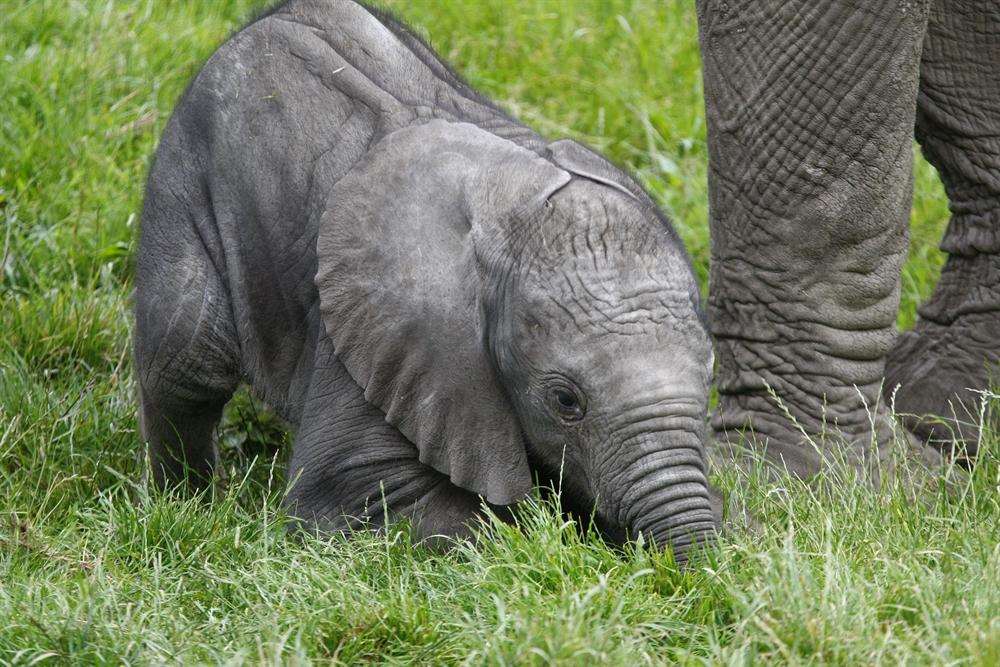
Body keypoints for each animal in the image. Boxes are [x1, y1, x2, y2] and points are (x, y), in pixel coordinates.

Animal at [137, 0, 716, 560]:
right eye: (565, 402)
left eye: (709, 378)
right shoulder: (387, 338)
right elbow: (354, 499)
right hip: (185, 178)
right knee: (185, 360)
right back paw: (188, 506)